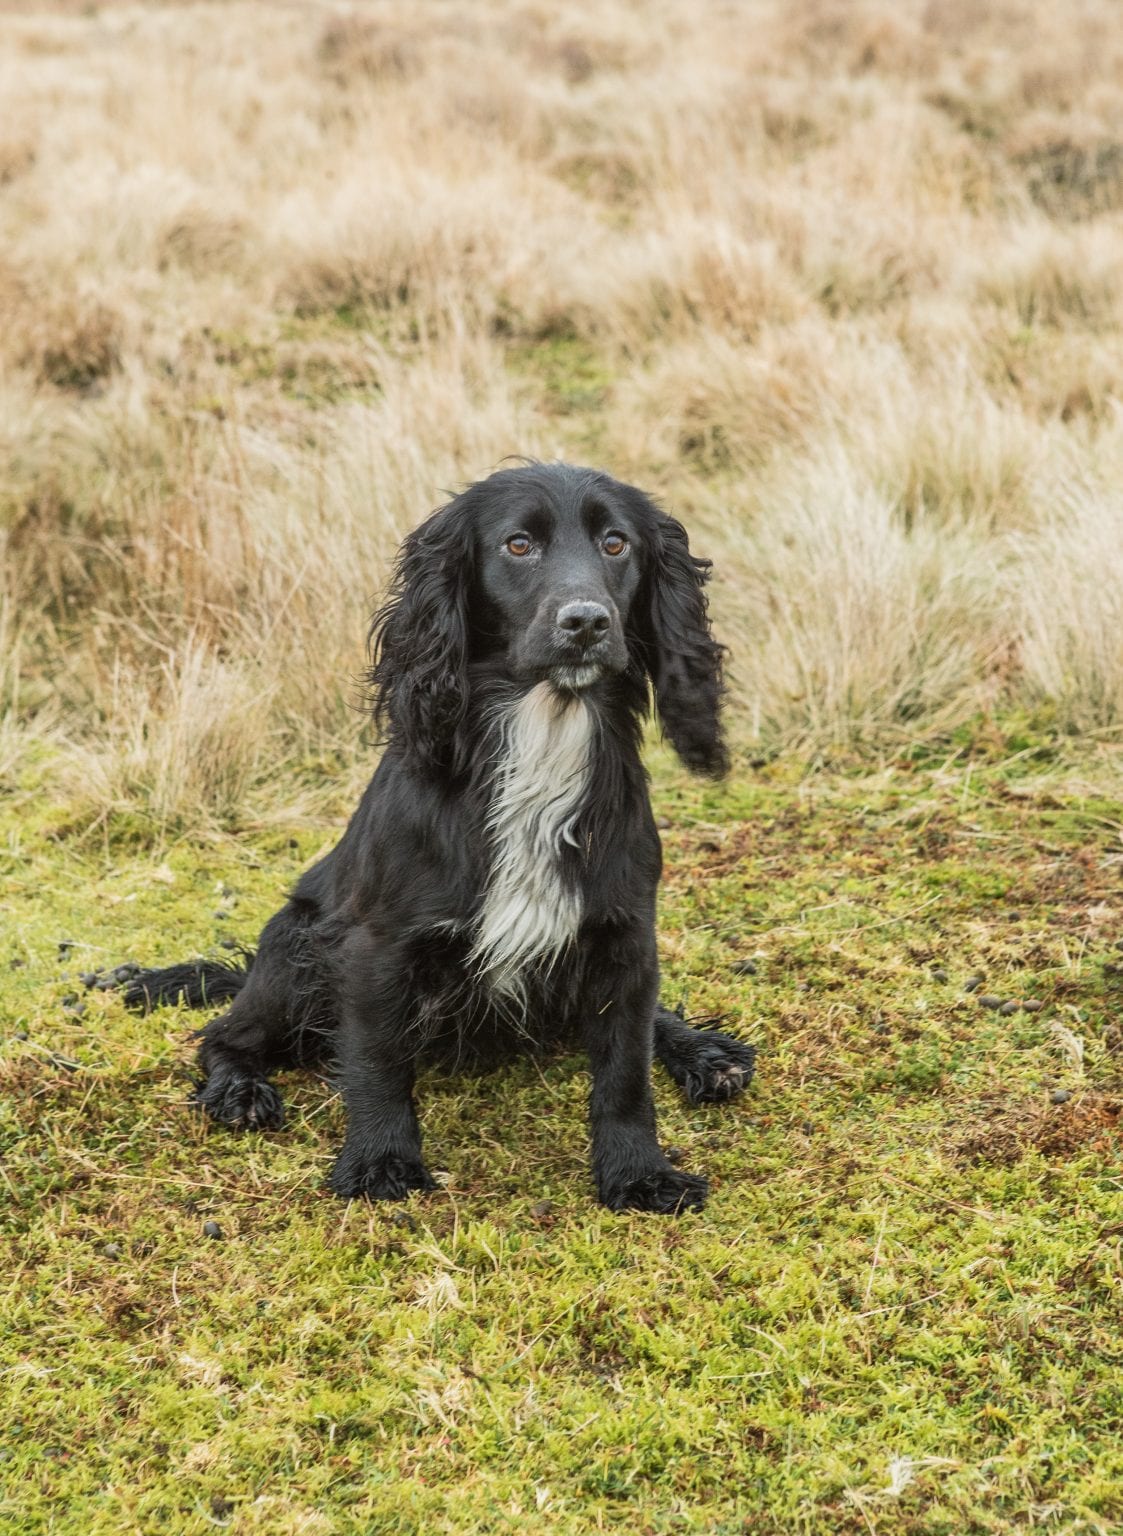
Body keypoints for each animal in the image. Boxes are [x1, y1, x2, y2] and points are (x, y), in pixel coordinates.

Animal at [127, 457, 758, 1210]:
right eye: (518, 545)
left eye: (616, 544)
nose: (586, 622)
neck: (541, 737)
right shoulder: (374, 944)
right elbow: (376, 1063)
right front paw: (380, 1162)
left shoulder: (625, 935)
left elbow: (625, 1070)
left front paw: (638, 1173)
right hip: (295, 950)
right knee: (224, 1035)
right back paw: (240, 1089)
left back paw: (703, 1054)